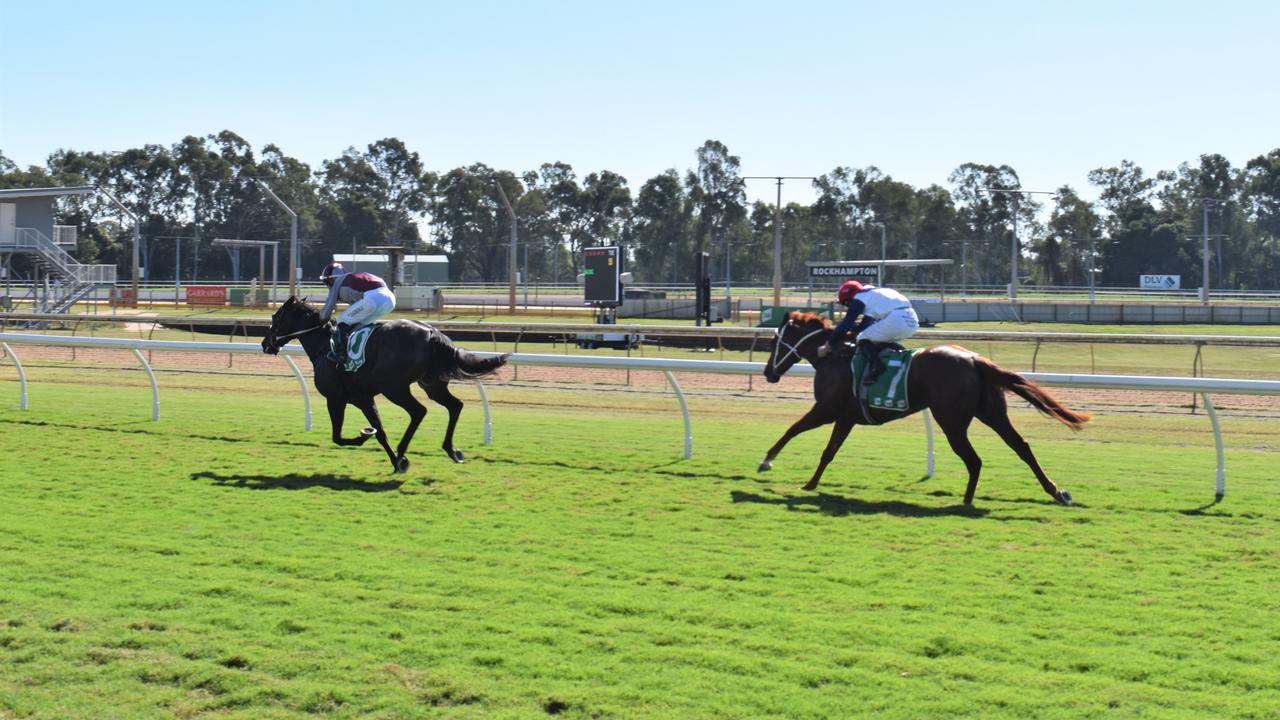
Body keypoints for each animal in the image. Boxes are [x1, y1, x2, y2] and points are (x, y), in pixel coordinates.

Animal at [262, 295, 506, 471]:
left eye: (276, 318)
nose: (265, 343)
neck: (324, 346)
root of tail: (431, 333)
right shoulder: (363, 399)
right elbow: (380, 432)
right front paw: (396, 461)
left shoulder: (336, 398)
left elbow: (338, 437)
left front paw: (366, 438)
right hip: (431, 384)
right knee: (455, 406)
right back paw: (451, 450)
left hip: (393, 387)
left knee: (419, 411)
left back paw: (404, 449)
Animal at [757, 310, 1090, 504]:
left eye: (773, 342)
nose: (768, 373)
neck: (834, 354)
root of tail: (974, 359)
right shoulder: (846, 416)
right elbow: (829, 451)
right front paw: (810, 484)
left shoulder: (826, 409)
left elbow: (792, 429)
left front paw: (766, 461)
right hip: (991, 413)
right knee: (1021, 446)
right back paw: (1057, 491)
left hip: (952, 420)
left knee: (974, 459)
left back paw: (966, 500)